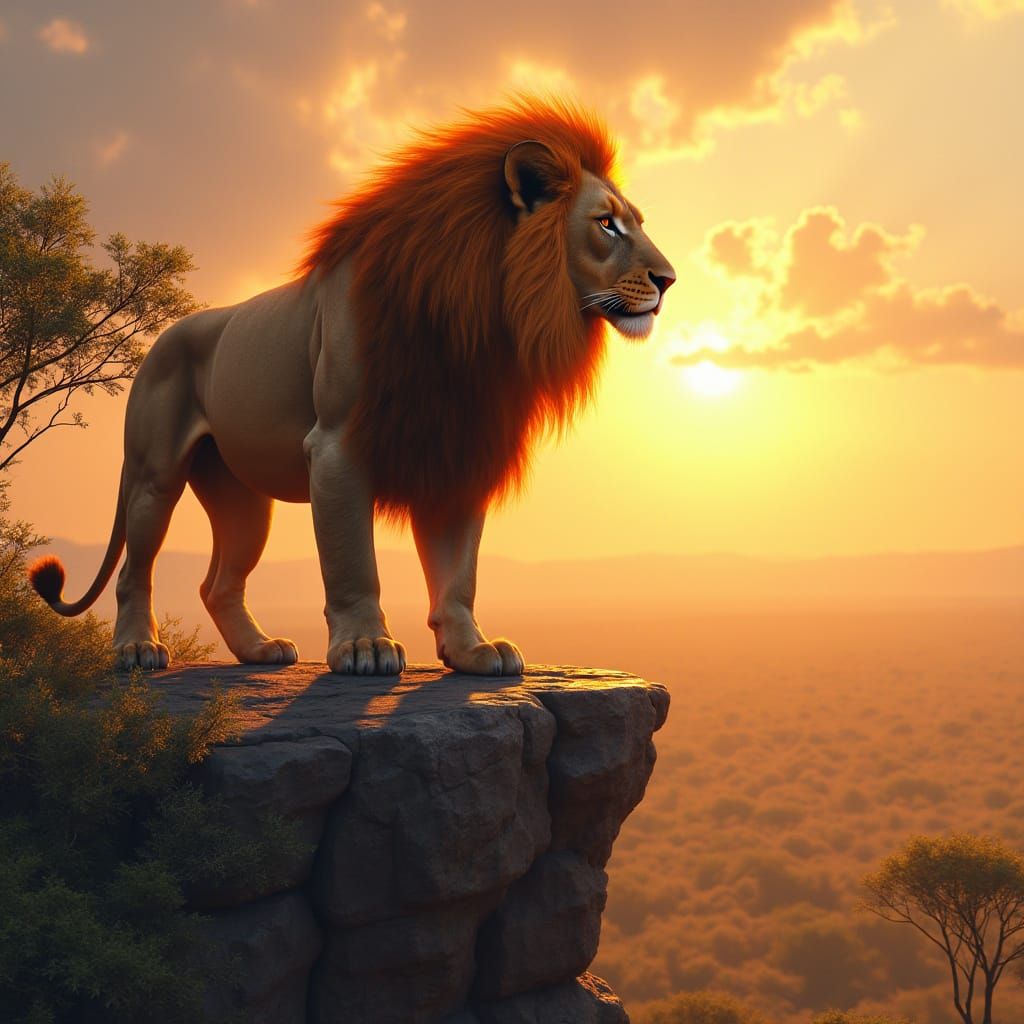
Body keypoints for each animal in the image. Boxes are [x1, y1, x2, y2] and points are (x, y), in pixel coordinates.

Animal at [29, 98, 675, 676]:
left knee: (218, 583)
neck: (483, 323)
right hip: (153, 475)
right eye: (607, 224)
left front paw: (472, 652)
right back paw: (137, 650)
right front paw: (365, 647)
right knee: (134, 572)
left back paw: (259, 651)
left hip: (243, 498)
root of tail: (163, 338)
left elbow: (458, 571)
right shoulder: (338, 447)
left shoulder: (459, 448)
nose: (669, 280)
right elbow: (352, 561)